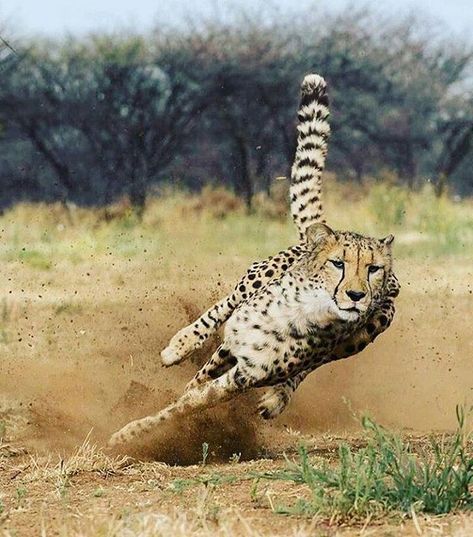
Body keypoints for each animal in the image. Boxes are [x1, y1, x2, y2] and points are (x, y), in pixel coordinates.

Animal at [109, 73, 398, 446]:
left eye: (373, 269)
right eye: (339, 264)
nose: (357, 295)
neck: (304, 310)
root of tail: (324, 231)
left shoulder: (245, 374)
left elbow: (189, 404)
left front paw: (132, 433)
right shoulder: (235, 341)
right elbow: (196, 380)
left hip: (360, 337)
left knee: (307, 368)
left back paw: (277, 399)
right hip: (255, 281)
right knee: (219, 311)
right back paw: (179, 346)